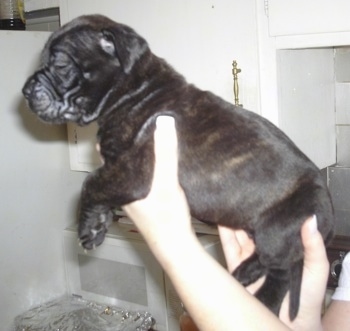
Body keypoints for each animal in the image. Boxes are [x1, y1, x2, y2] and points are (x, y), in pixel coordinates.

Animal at [22, 14, 334, 320]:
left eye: (60, 65)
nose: (25, 91)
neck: (134, 90)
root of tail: (327, 221)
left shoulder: (133, 172)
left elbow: (91, 183)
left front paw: (86, 227)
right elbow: (100, 190)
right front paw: (99, 223)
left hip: (277, 232)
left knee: (280, 275)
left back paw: (263, 302)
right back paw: (243, 272)